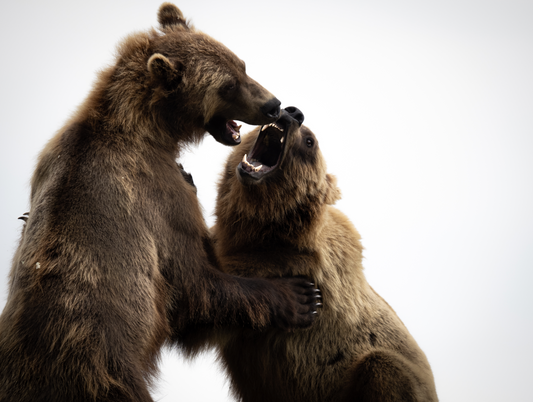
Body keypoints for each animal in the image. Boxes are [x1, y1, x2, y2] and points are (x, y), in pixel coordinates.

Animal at [0, 5, 318, 402]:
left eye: (241, 65)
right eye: (227, 86)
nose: (273, 105)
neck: (149, 130)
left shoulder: (50, 161)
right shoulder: (156, 199)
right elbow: (196, 284)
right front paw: (300, 296)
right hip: (105, 369)